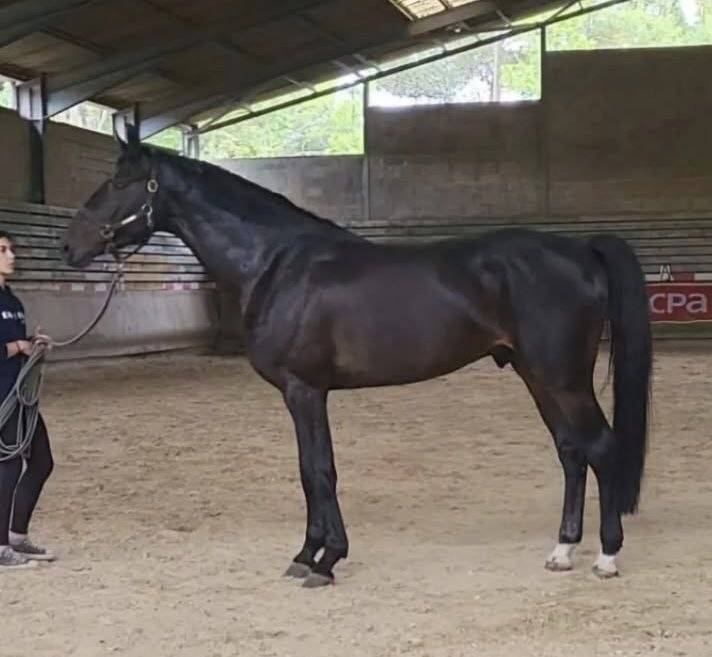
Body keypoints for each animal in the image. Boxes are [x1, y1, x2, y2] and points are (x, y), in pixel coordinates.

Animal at [62, 126, 652, 587]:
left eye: (120, 183)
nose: (70, 247)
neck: (277, 263)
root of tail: (578, 248)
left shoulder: (304, 390)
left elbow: (319, 470)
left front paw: (325, 560)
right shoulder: (305, 393)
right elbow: (311, 469)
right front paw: (308, 555)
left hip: (563, 378)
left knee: (601, 448)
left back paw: (606, 557)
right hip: (537, 376)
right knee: (572, 453)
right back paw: (562, 550)